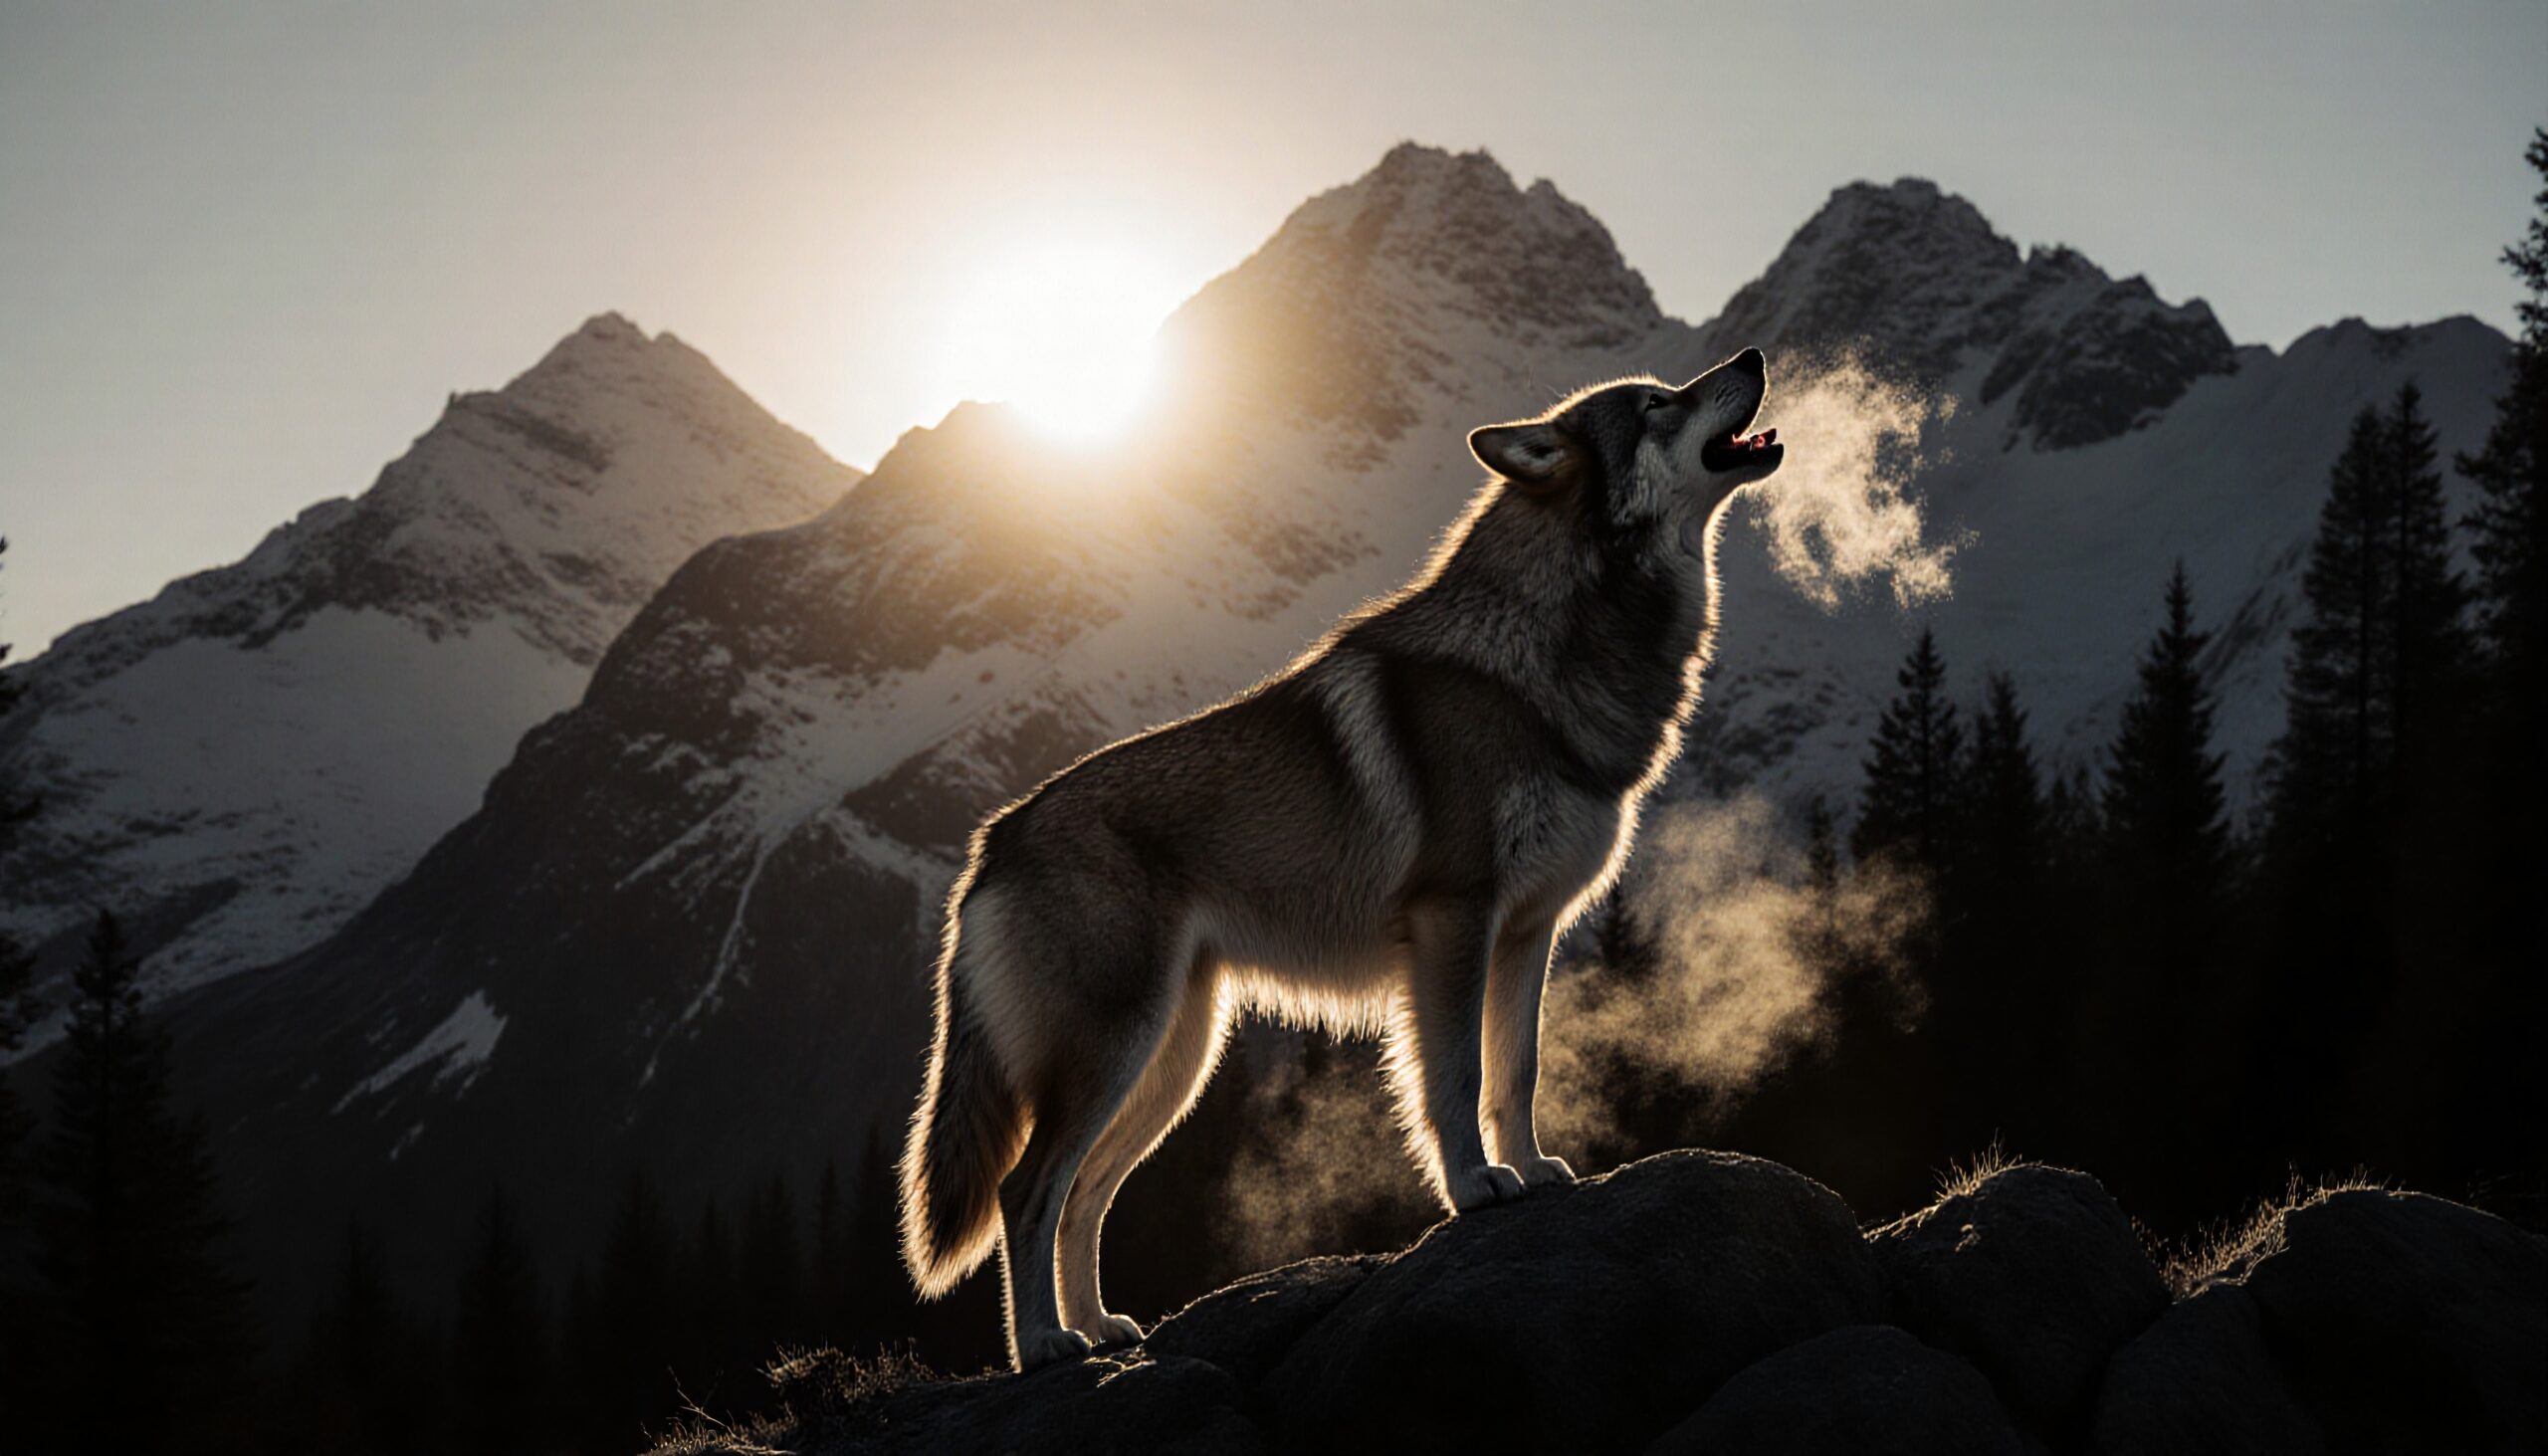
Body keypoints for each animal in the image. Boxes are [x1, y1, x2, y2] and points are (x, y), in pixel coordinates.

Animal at [899, 348, 1786, 1369]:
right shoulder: (1453, 921)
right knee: (1026, 1188)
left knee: (1083, 1195)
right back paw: (1046, 1343)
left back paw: (1102, 1329)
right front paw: (1476, 1188)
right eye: (1655, 403)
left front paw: (1532, 1169)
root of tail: (990, 843)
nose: (1754, 357)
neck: (1539, 655)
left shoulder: (1528, 933)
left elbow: (1515, 1074)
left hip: (1173, 1061)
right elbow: (1454, 1078)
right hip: (1116, 1052)